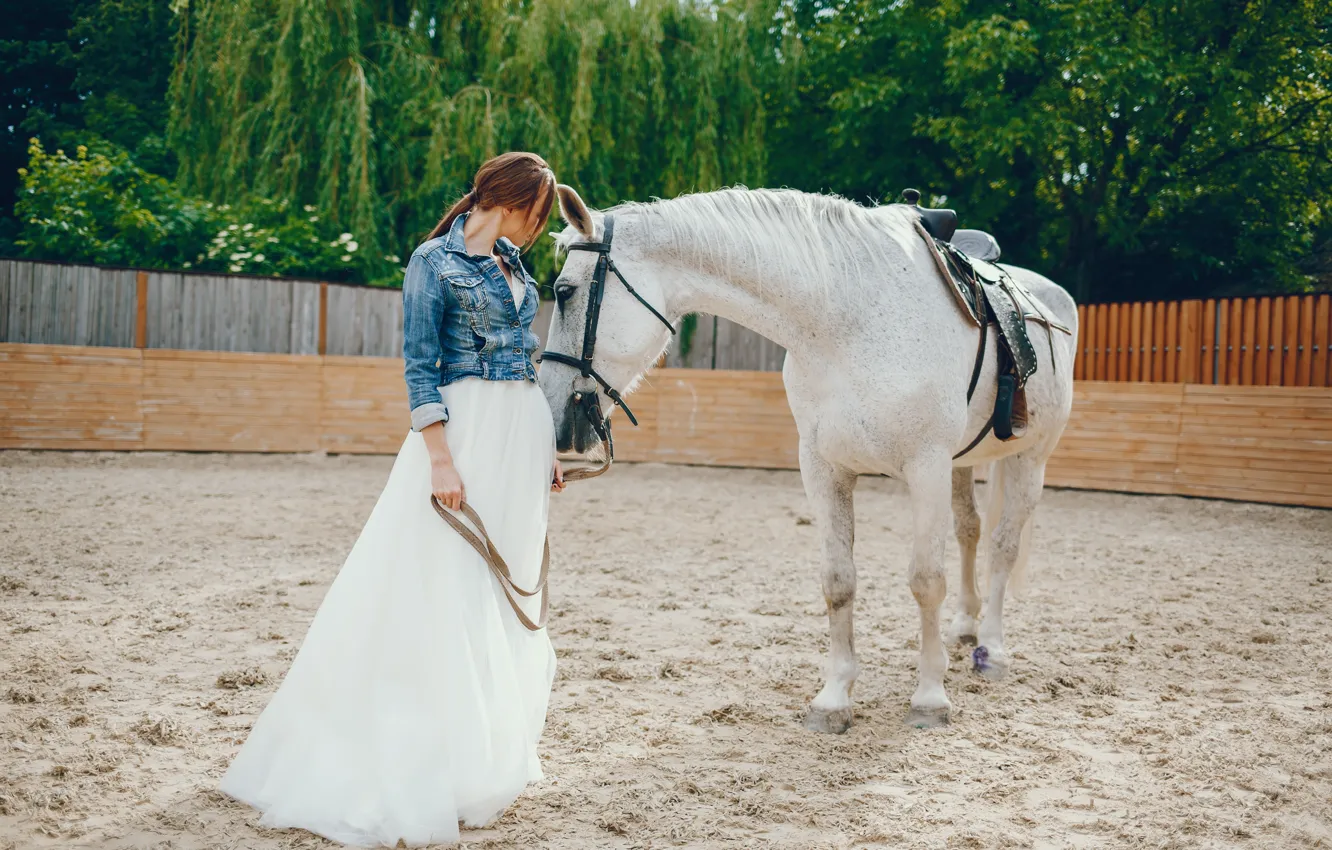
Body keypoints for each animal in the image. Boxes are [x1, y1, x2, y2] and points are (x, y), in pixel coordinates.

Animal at [537, 184, 1077, 730]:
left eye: (564, 291)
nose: (554, 414)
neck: (849, 321)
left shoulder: (926, 467)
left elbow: (926, 581)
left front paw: (929, 697)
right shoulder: (824, 469)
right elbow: (838, 582)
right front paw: (834, 699)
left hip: (1030, 459)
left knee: (1003, 546)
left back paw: (991, 648)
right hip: (963, 464)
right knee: (970, 531)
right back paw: (965, 626)